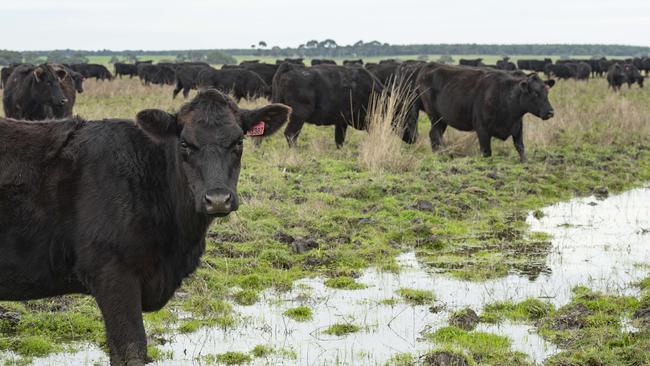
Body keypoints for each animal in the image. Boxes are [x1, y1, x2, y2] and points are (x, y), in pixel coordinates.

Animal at [416, 63, 552, 162]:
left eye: (547, 92)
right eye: (535, 93)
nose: (551, 112)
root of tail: (429, 67)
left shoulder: (518, 128)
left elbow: (521, 148)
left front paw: (525, 162)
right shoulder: (482, 130)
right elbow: (486, 152)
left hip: (442, 120)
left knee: (434, 135)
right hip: (435, 117)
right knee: (435, 135)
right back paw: (443, 155)